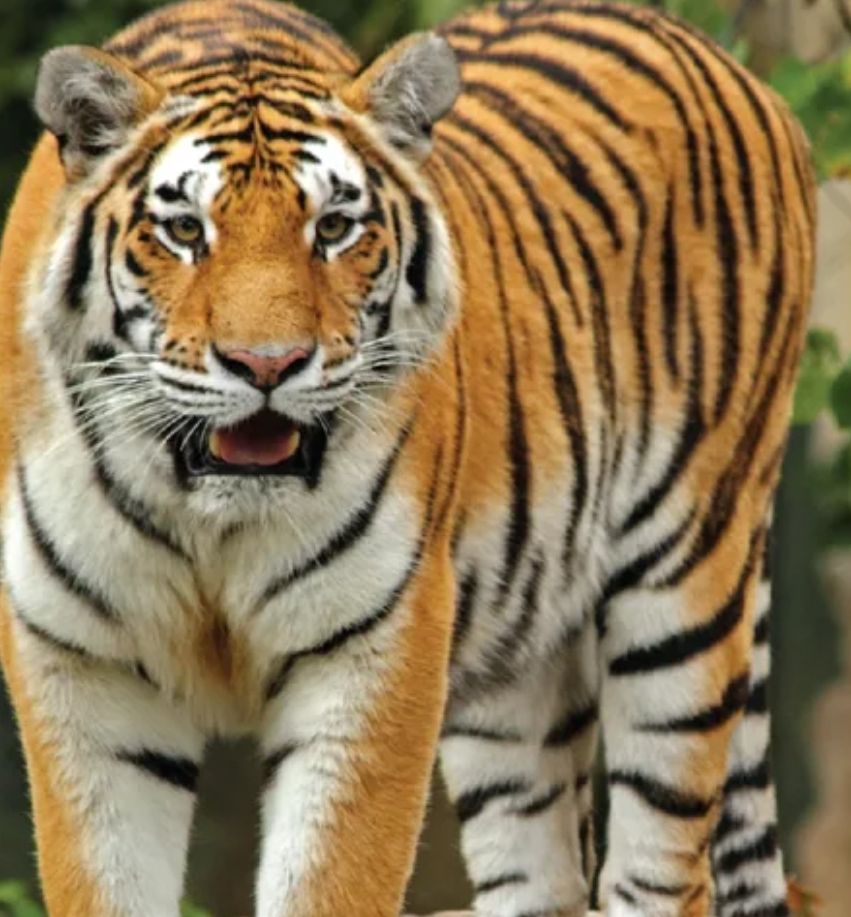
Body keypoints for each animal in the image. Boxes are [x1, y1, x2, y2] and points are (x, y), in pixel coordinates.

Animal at [0, 0, 815, 915]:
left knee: (662, 866)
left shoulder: (370, 657)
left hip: (685, 590)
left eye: (332, 228)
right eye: (183, 231)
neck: (208, 517)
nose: (267, 365)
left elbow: (330, 879)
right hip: (513, 669)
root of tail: (731, 67)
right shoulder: (83, 670)